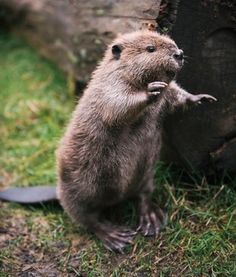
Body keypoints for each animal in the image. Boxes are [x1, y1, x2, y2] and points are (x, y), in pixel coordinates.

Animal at [55, 29, 216, 250]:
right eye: (150, 48)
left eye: (173, 43)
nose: (179, 53)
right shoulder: (108, 87)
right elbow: (117, 106)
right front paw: (152, 89)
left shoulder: (167, 95)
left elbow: (175, 95)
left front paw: (201, 98)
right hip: (75, 190)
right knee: (87, 218)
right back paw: (116, 237)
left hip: (146, 174)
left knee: (143, 196)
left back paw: (151, 220)